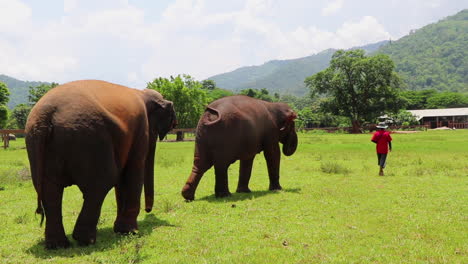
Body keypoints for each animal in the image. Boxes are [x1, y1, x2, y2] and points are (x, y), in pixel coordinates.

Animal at [25, 79, 176, 249]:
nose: (149, 210)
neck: (141, 92)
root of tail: (46, 116)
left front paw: (120, 230)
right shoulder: (140, 127)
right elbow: (134, 169)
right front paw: (129, 232)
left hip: (40, 146)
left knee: (50, 192)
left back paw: (58, 245)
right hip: (91, 138)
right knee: (102, 183)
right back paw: (85, 240)